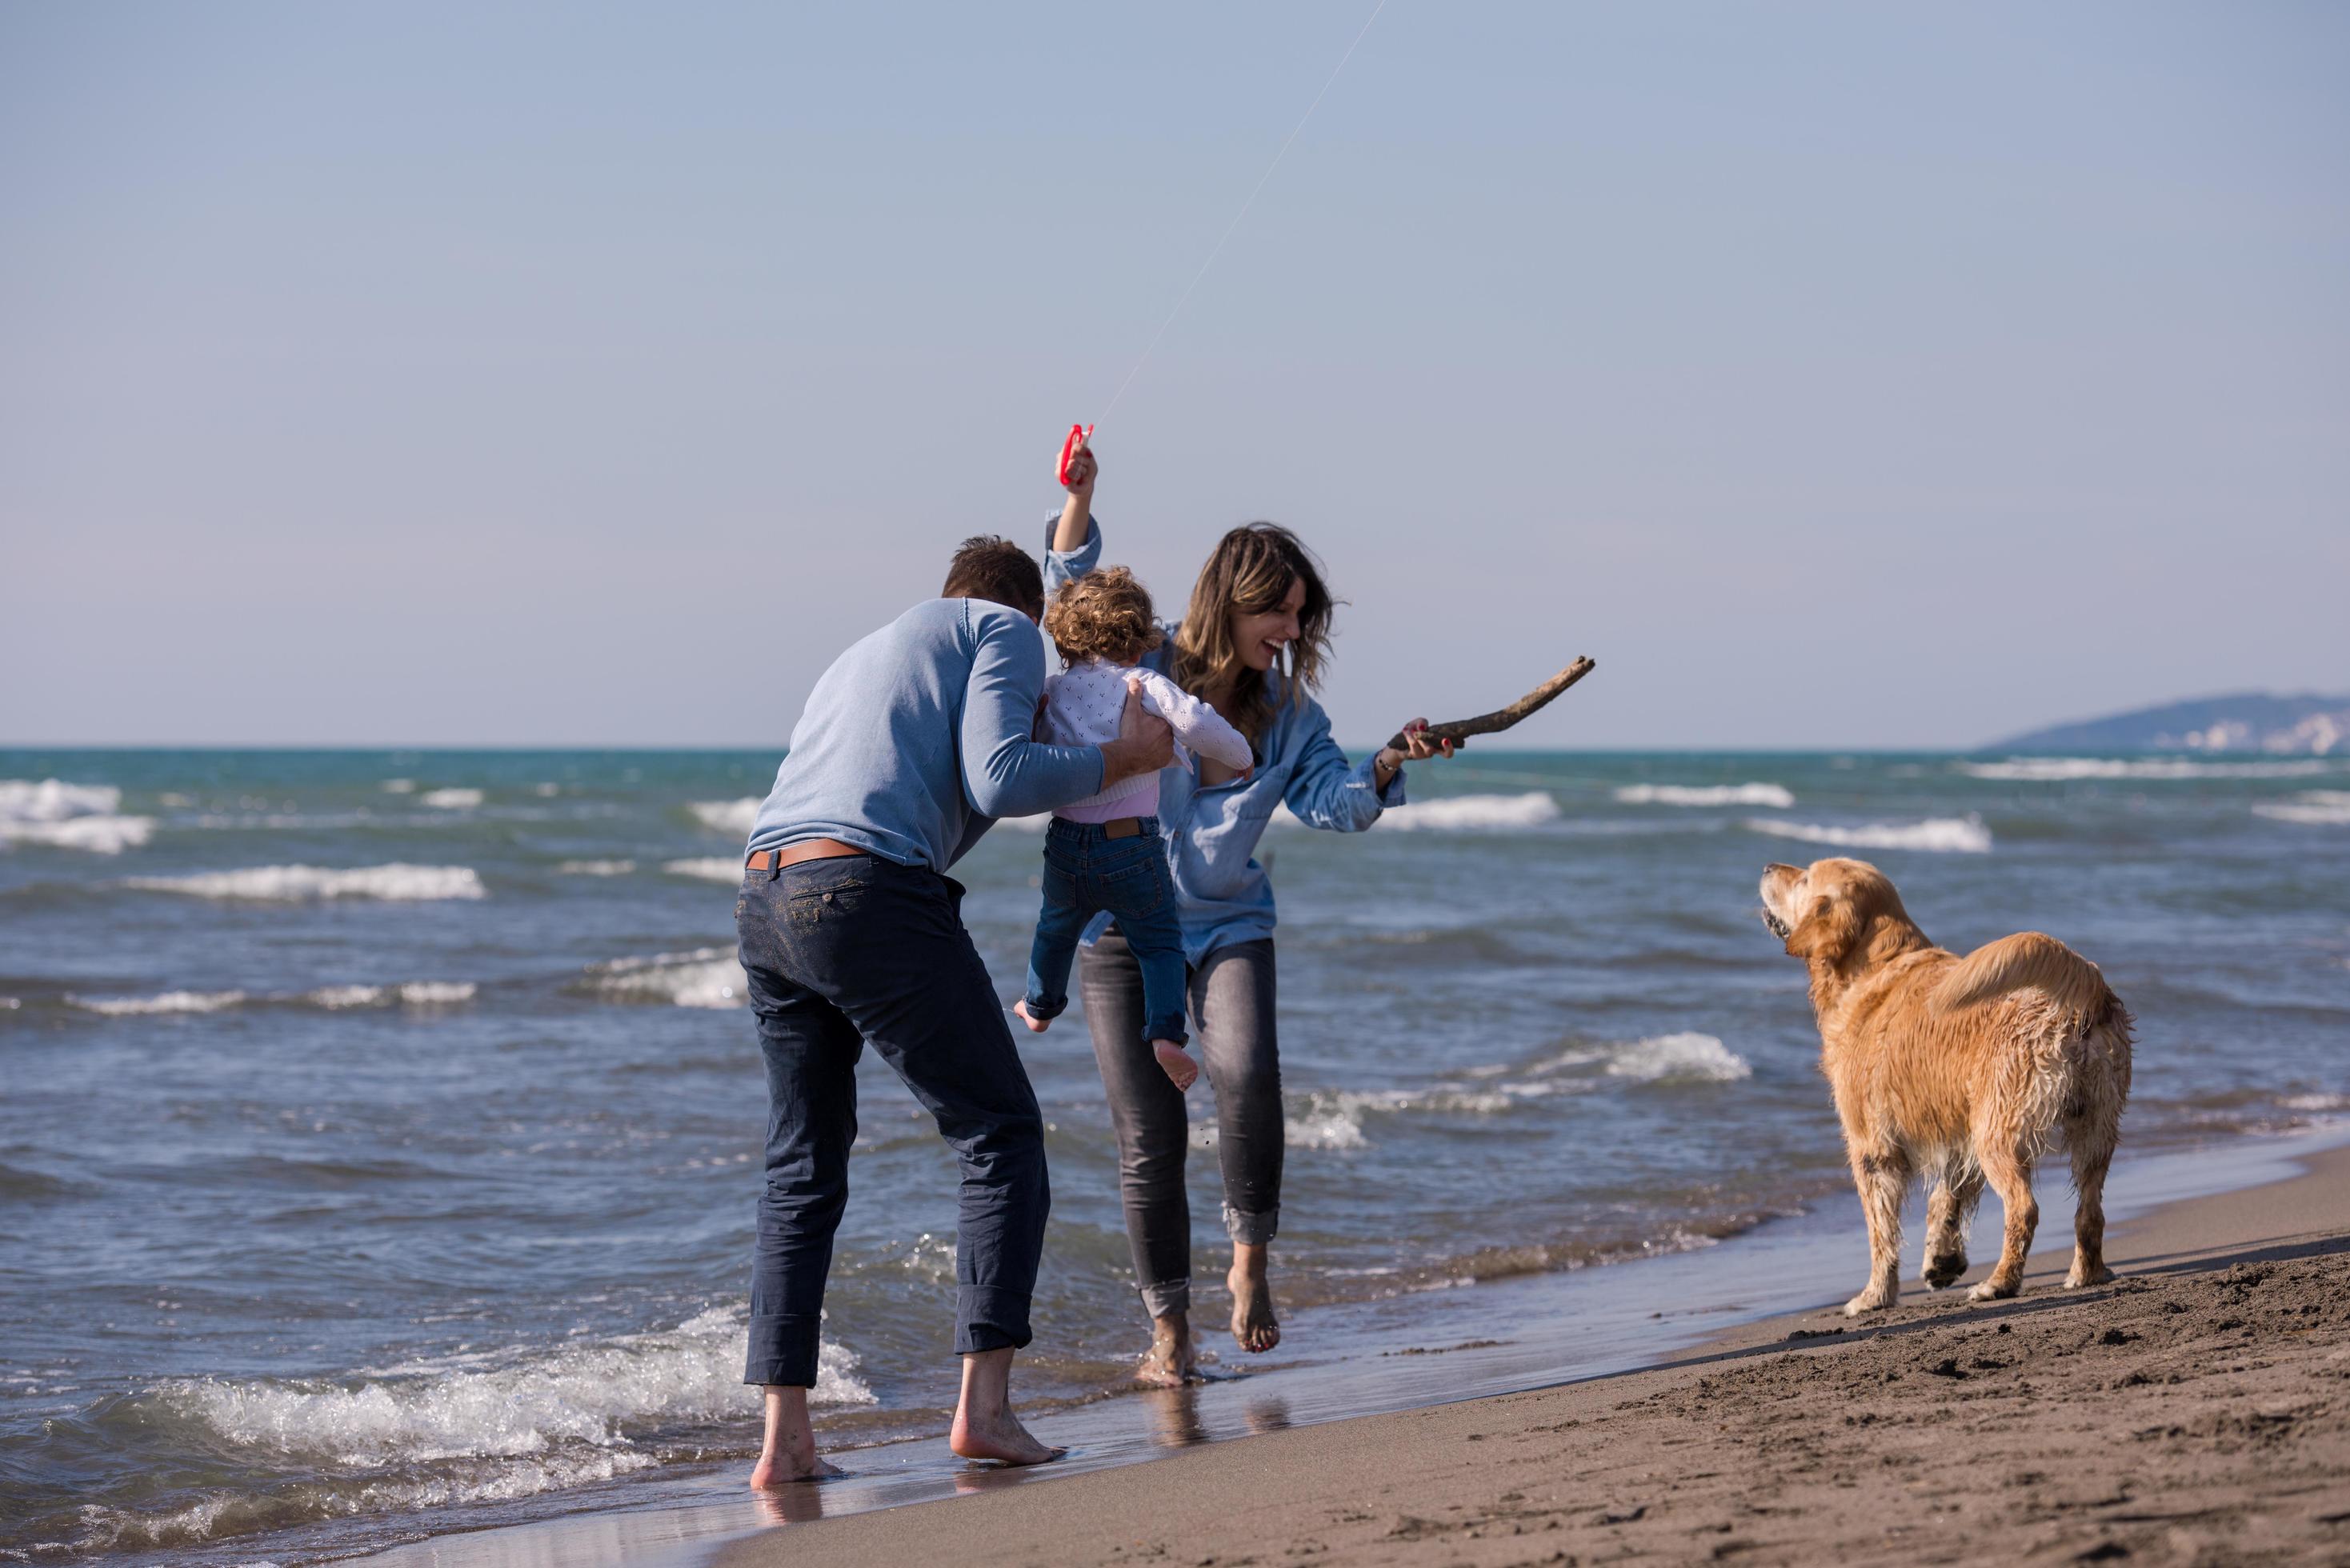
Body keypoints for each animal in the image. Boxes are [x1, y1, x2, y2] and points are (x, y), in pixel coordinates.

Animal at [1767, 860, 2133, 1316]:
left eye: (1803, 879)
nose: (1768, 866)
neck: (1874, 966)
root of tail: (2085, 989)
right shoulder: (1956, 1131)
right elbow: (1946, 1198)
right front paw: (1942, 1260)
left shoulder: (1872, 1148)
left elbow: (1881, 1233)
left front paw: (1874, 1296)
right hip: (2094, 1124)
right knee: (2091, 1211)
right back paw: (2086, 1274)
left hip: (1997, 1131)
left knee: (2024, 1210)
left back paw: (1999, 1284)